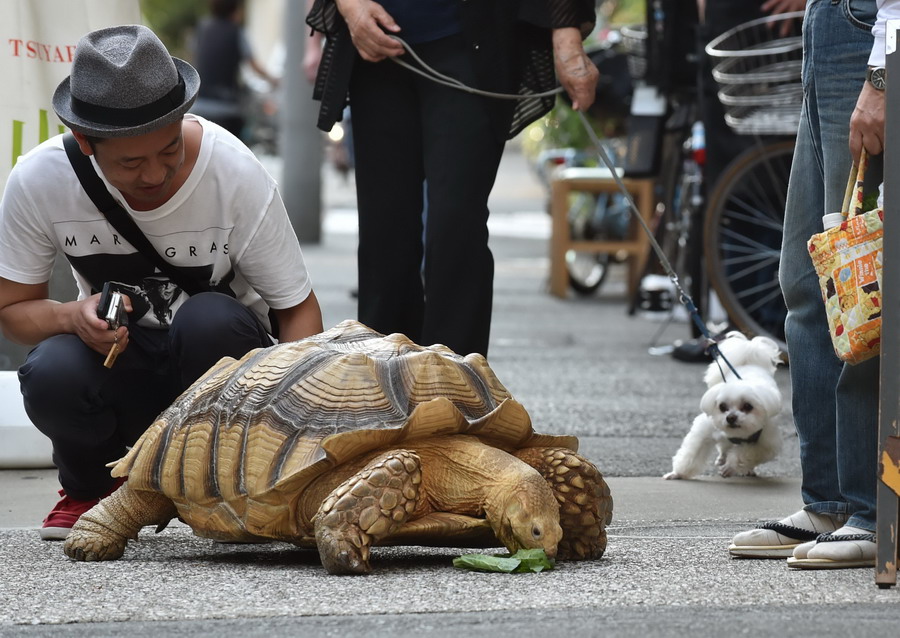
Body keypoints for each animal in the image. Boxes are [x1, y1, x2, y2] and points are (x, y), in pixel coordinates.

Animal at [664, 336, 784, 480]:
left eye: (748, 406)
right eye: (722, 406)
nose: (730, 417)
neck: (738, 435)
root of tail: (750, 362)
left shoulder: (765, 444)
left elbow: (744, 454)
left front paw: (730, 467)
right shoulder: (704, 432)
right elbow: (691, 454)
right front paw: (678, 473)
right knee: (724, 446)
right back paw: (722, 458)